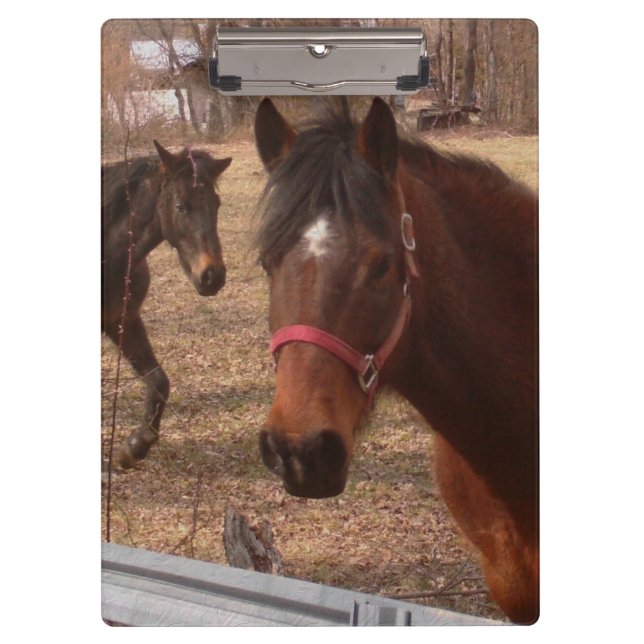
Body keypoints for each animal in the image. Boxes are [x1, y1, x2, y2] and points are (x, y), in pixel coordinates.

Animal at [102, 140, 232, 469]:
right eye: (181, 206)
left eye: (216, 205)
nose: (212, 276)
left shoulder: (123, 319)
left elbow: (159, 381)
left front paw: (134, 447)